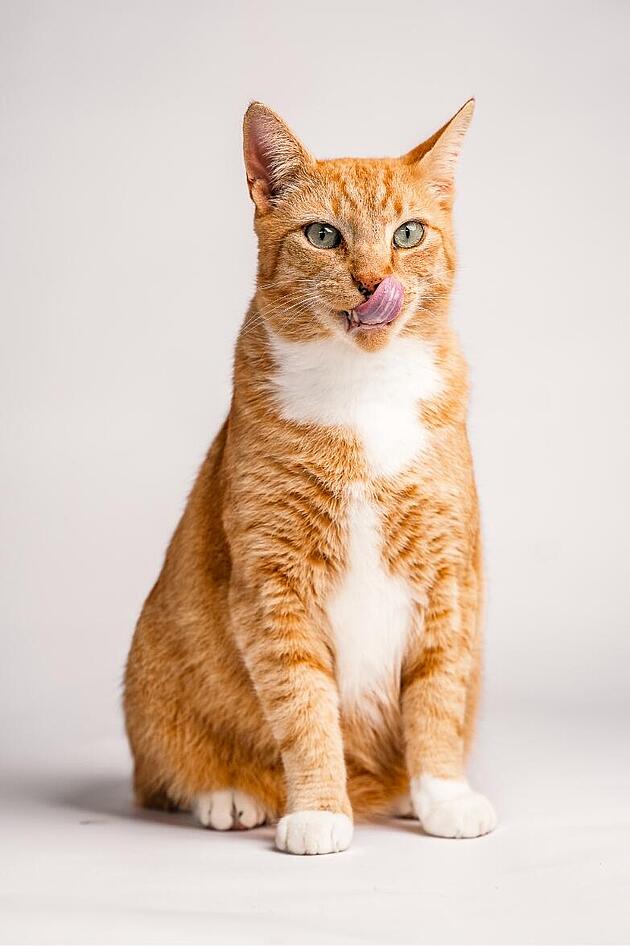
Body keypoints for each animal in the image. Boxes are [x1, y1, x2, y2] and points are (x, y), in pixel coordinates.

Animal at [123, 99, 498, 852]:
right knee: (164, 774)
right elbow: (303, 709)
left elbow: (438, 697)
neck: (365, 391)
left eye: (409, 234)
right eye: (323, 235)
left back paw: (402, 795)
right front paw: (321, 809)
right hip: (151, 675)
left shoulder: (450, 576)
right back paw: (231, 795)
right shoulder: (275, 587)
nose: (374, 283)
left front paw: (443, 795)